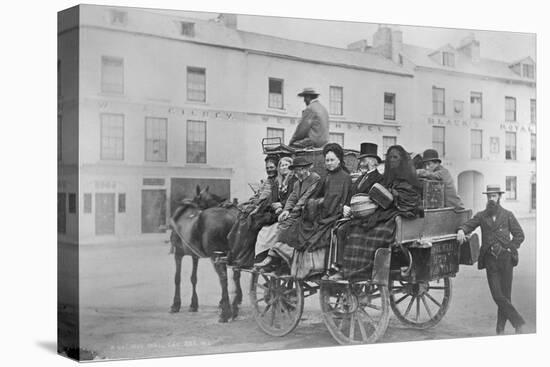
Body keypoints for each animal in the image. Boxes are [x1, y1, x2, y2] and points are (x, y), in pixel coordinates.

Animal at [169, 187, 243, 322]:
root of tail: (232, 218)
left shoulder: (178, 253)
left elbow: (177, 278)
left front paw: (176, 304)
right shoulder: (195, 255)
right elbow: (193, 278)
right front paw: (193, 304)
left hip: (216, 256)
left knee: (223, 278)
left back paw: (225, 313)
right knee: (235, 275)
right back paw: (234, 308)